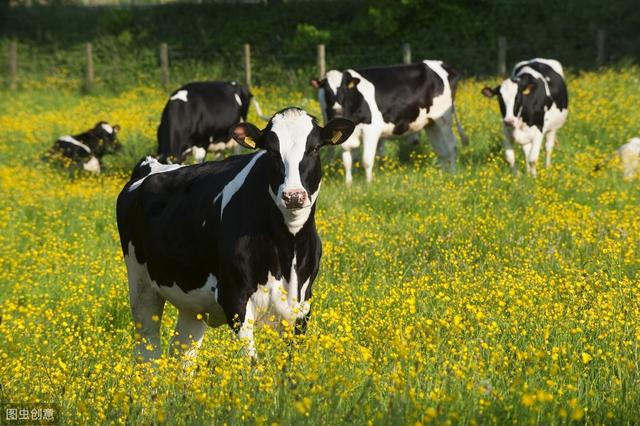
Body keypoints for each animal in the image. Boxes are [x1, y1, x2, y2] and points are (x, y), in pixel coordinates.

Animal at [115, 106, 356, 360]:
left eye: (314, 148)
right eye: (271, 151)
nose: (293, 196)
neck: (287, 248)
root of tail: (151, 165)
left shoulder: (302, 305)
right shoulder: (235, 300)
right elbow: (252, 363)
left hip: (192, 301)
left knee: (183, 350)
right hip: (141, 286)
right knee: (148, 349)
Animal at [312, 60, 468, 184]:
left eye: (344, 88)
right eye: (326, 90)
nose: (337, 111)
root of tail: (442, 64)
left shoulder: (371, 131)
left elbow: (366, 160)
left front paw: (369, 183)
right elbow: (348, 161)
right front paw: (349, 184)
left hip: (444, 118)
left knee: (451, 146)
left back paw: (452, 173)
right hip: (431, 123)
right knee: (440, 149)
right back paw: (442, 173)